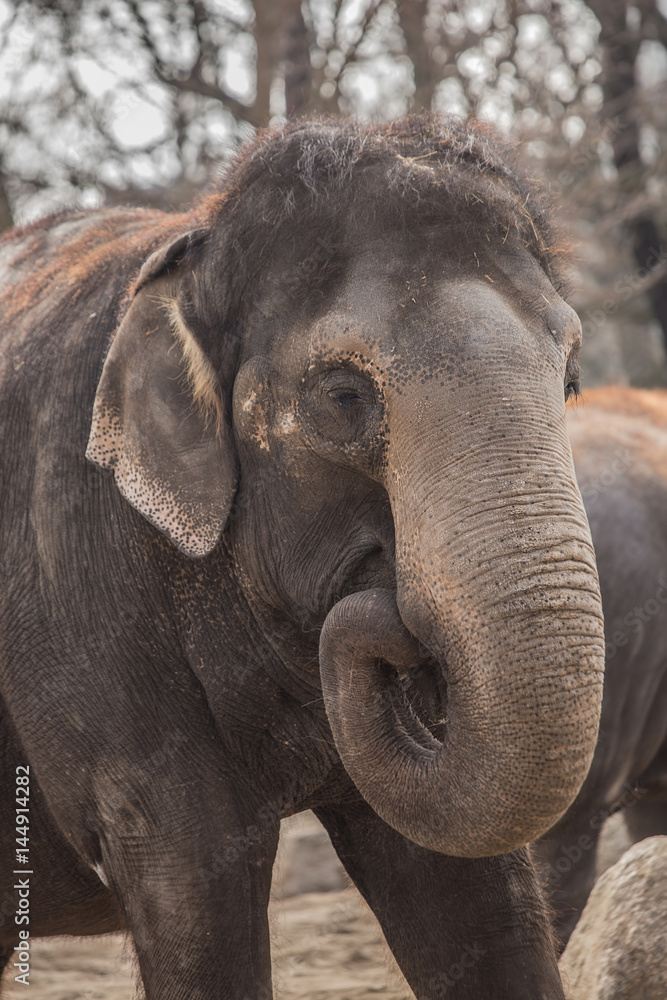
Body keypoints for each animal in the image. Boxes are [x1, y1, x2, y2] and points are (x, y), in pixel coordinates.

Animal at [0, 117, 605, 999]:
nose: (388, 610)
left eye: (568, 383)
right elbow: (196, 896)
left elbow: (471, 897)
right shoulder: (73, 579)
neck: (191, 239)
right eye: (342, 398)